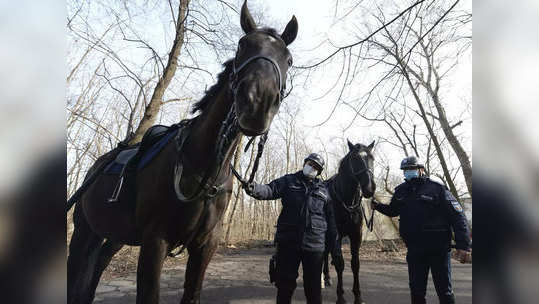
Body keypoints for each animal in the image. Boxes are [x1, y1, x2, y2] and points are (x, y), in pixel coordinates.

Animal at [66, 1, 300, 302]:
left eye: (289, 59)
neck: (202, 169)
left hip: (113, 236)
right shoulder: (155, 242)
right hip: (84, 232)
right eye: (242, 46)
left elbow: (192, 292)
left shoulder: (205, 246)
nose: (258, 102)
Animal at [322, 140, 378, 304]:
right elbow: (340, 263)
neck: (346, 200)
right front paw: (340, 296)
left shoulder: (355, 235)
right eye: (355, 159)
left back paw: (327, 277)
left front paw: (358, 296)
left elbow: (355, 264)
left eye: (372, 158)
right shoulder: (336, 235)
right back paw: (325, 278)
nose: (369, 188)